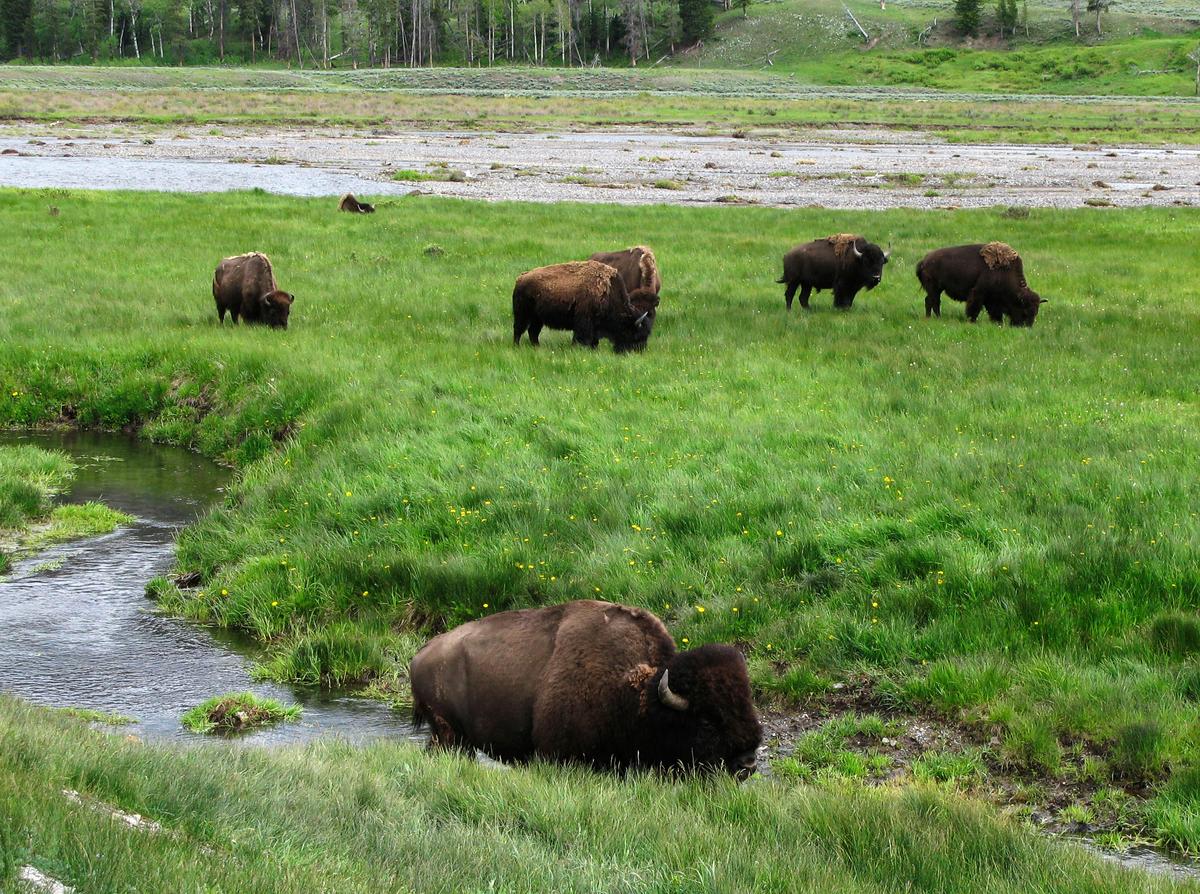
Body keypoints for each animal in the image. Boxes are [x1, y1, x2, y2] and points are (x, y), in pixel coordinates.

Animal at [512, 260, 658, 351]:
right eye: (636, 335)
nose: (639, 351)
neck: (608, 292)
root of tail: (521, 278)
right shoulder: (584, 323)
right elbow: (582, 338)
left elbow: (593, 340)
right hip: (523, 315)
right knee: (519, 330)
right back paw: (517, 347)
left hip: (538, 319)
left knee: (533, 332)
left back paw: (537, 347)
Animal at [916, 242, 1046, 326]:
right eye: (1024, 311)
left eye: (1035, 312)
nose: (1026, 327)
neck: (1005, 271)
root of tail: (924, 261)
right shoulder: (978, 293)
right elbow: (974, 308)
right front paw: (972, 321)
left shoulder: (992, 300)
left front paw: (998, 322)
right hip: (934, 289)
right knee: (933, 302)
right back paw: (934, 318)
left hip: (937, 289)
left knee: (931, 301)